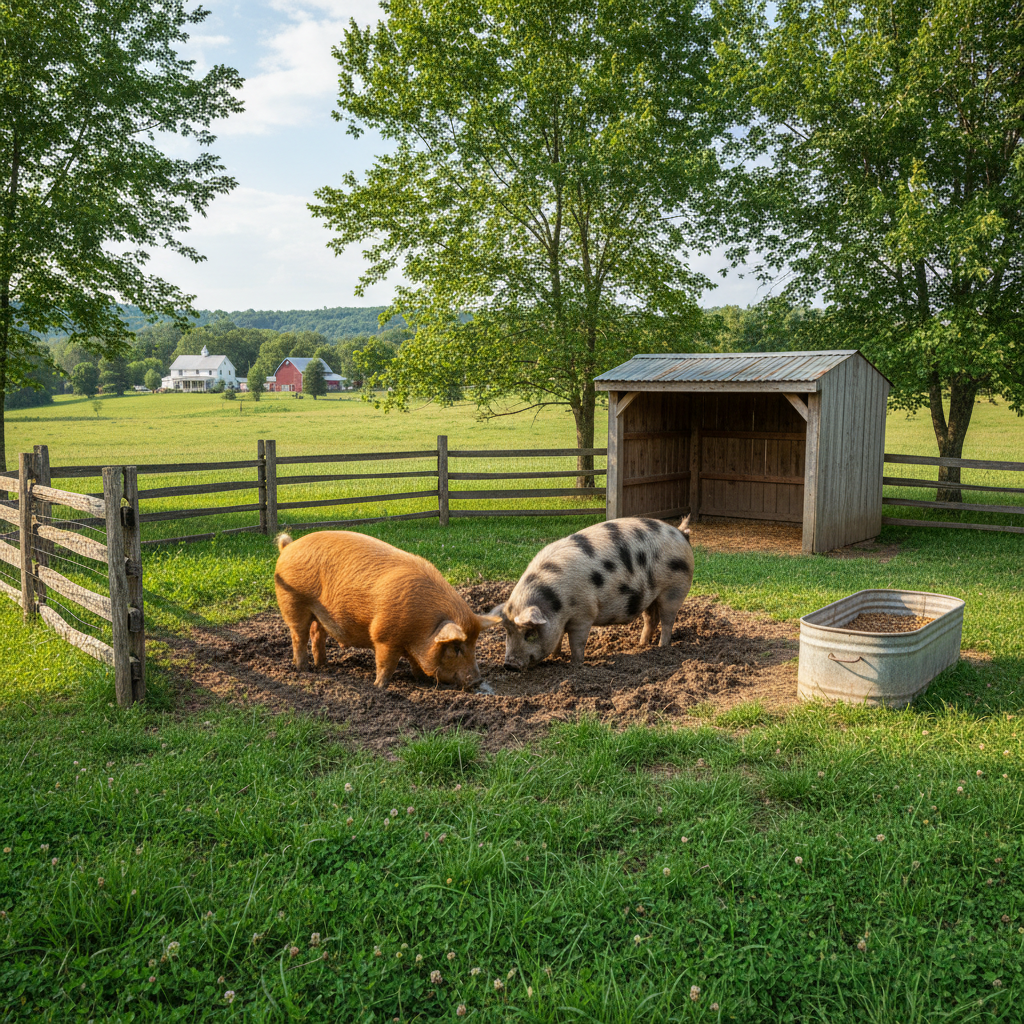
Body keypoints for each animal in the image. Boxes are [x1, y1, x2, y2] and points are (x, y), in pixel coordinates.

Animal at [274, 530, 499, 689]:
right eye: (456, 648)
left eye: (474, 645)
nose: (477, 681)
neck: (422, 628)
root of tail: (288, 547)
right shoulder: (384, 636)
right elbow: (386, 664)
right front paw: (379, 687)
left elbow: (416, 664)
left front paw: (422, 682)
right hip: (293, 603)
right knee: (299, 636)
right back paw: (303, 669)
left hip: (320, 614)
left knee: (317, 634)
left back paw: (323, 666)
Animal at [495, 516, 693, 671]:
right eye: (507, 631)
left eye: (529, 633)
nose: (509, 665)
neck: (558, 604)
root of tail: (680, 533)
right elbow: (558, 639)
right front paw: (556, 657)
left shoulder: (584, 615)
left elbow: (577, 642)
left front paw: (575, 664)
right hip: (650, 597)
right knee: (651, 618)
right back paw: (641, 645)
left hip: (674, 589)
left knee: (668, 620)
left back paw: (661, 647)